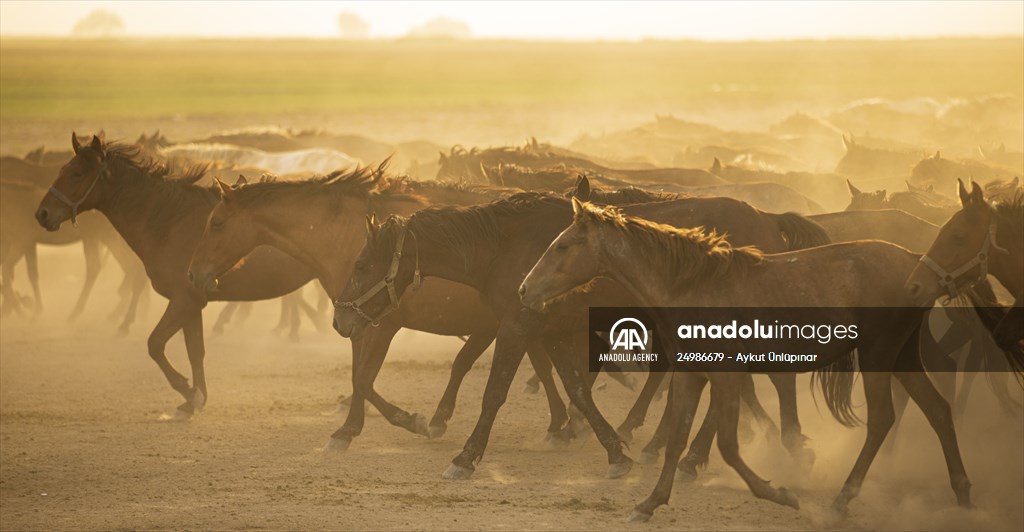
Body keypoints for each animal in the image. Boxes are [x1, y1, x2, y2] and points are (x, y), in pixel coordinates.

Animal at [34, 133, 318, 418]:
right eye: (62, 169)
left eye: (77, 174)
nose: (42, 214)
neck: (169, 221)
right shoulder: (192, 305)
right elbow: (195, 351)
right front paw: (195, 398)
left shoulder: (184, 300)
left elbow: (155, 344)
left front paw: (189, 391)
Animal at [186, 171, 571, 448]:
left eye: (216, 222)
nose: (193, 273)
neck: (343, 236)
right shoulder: (356, 320)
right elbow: (359, 375)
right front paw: (350, 427)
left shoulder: (383, 324)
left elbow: (363, 378)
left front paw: (406, 422)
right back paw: (561, 422)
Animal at [333, 192, 829, 482]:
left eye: (362, 265)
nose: (341, 321)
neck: (504, 248)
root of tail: (768, 220)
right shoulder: (551, 331)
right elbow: (577, 390)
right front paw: (613, 451)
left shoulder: (516, 328)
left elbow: (495, 393)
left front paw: (466, 457)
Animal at [518, 197, 1021, 521]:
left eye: (563, 246)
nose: (525, 289)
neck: (693, 285)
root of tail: (916, 262)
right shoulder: (691, 374)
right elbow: (677, 436)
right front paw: (649, 502)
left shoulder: (724, 375)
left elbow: (725, 443)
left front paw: (779, 493)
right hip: (901, 356)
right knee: (937, 410)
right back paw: (963, 497)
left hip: (879, 354)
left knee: (882, 419)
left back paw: (841, 501)